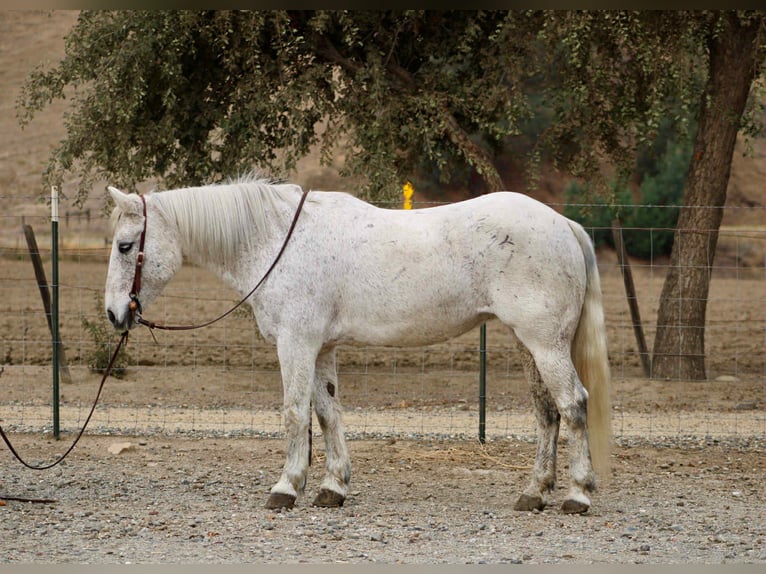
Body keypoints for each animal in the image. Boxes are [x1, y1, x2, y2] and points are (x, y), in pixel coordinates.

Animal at [104, 175, 611, 514]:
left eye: (126, 246)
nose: (114, 314)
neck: (278, 242)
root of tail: (564, 224)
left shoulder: (296, 344)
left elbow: (294, 413)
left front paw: (286, 488)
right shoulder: (322, 349)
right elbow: (328, 414)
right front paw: (333, 487)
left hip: (545, 344)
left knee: (573, 405)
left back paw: (578, 494)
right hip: (530, 344)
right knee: (547, 413)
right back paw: (534, 493)